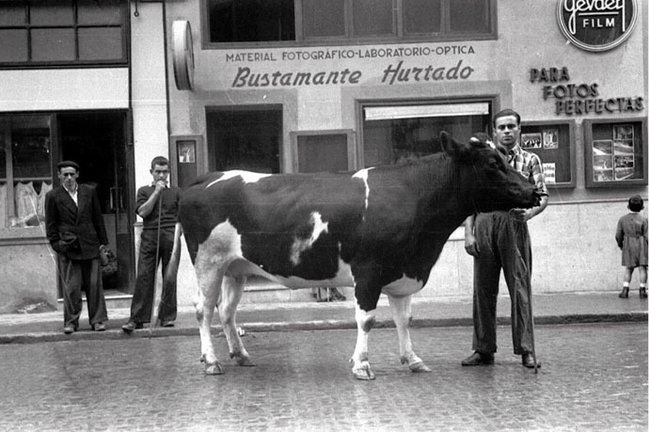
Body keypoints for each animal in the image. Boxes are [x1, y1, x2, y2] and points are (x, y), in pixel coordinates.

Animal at [165, 132, 540, 382]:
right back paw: (211, 361)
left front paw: (412, 359)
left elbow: (404, 320)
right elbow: (367, 320)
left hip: (236, 267)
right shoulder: (369, 272)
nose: (534, 190)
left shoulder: (402, 272)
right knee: (203, 309)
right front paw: (362, 365)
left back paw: (240, 356)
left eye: (505, 158)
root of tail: (207, 177)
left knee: (226, 310)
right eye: (492, 163)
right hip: (208, 261)